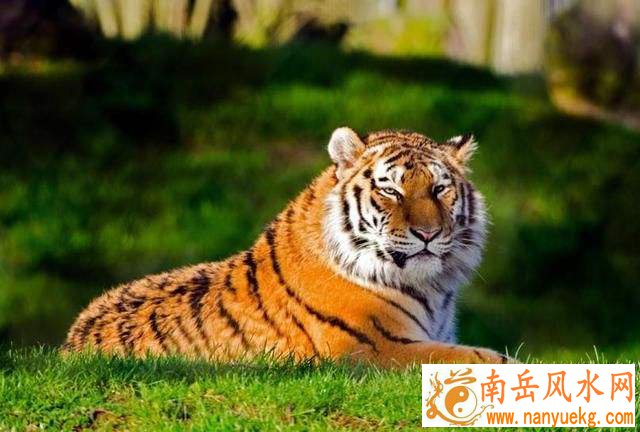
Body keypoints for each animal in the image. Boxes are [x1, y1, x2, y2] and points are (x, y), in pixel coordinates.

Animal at [63, 127, 512, 366]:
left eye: (439, 189)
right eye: (390, 190)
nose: (427, 234)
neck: (431, 288)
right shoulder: (375, 349)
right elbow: (485, 359)